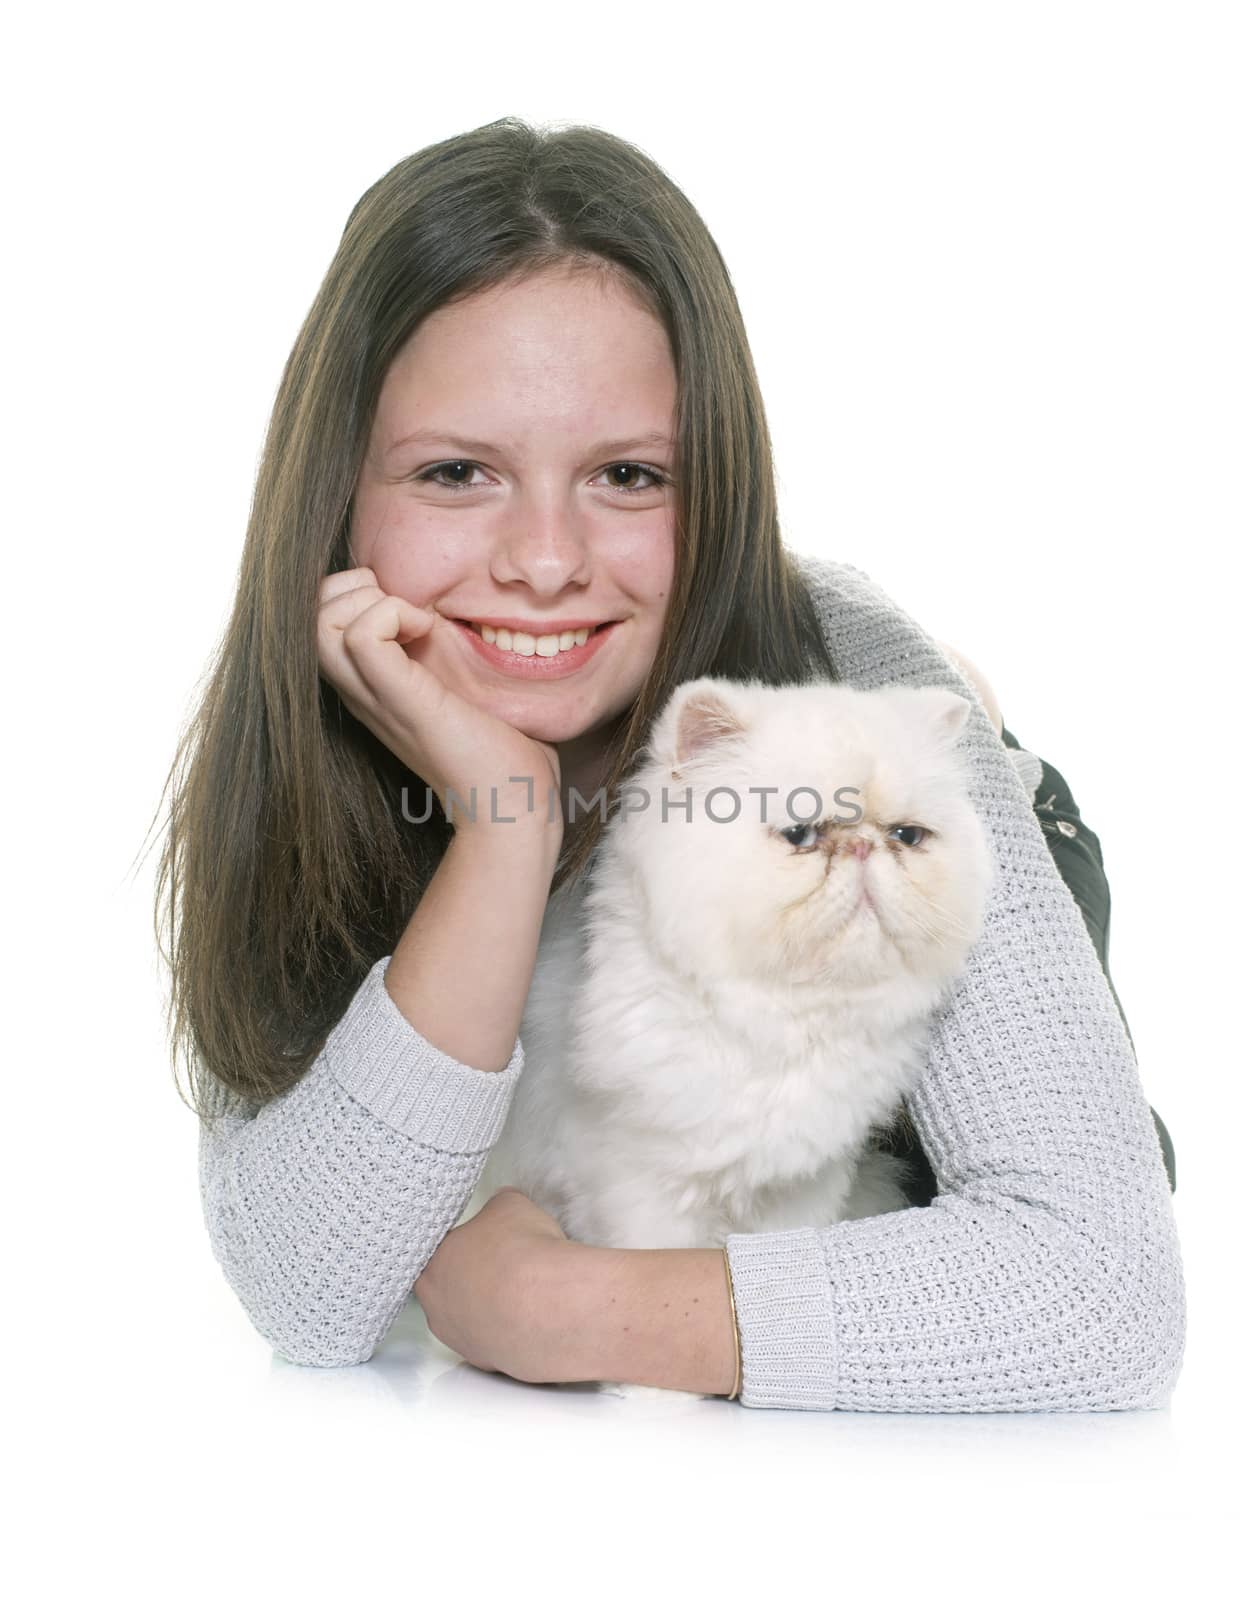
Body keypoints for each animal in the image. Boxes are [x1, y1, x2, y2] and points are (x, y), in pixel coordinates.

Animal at [454, 675, 992, 1401]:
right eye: (799, 833)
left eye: (907, 836)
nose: (861, 847)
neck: (786, 1018)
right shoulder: (639, 1182)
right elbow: (641, 1283)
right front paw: (651, 1398)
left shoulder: (801, 1189)